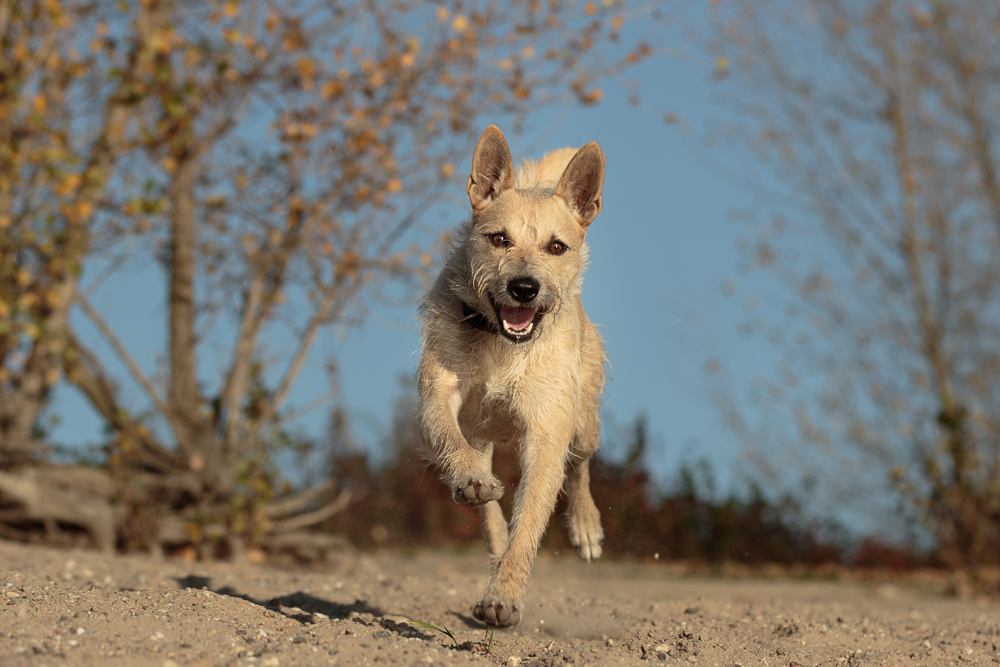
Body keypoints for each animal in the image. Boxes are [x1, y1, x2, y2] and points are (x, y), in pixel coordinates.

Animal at [416, 126, 604, 632]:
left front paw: (503, 598)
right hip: (483, 430)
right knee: (486, 498)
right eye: (499, 238)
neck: (503, 344)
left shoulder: (546, 432)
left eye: (556, 247)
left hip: (583, 422)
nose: (524, 288)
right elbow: (450, 440)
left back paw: (586, 527)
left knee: (580, 466)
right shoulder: (438, 394)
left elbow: (532, 518)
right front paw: (470, 480)